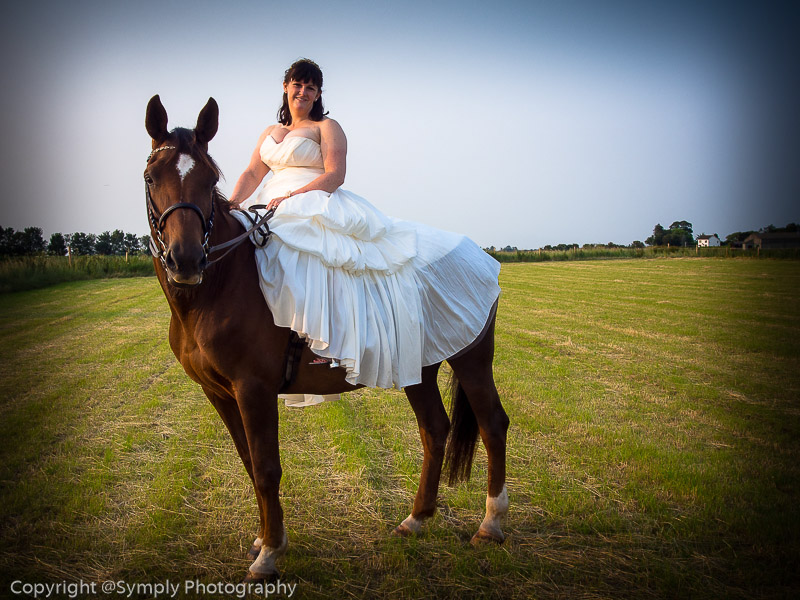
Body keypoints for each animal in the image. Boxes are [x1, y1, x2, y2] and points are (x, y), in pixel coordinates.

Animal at [144, 96, 510, 580]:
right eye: (152, 176)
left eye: (209, 177)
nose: (185, 260)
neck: (221, 284)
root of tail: (479, 253)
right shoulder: (219, 393)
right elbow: (247, 462)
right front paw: (263, 538)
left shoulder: (253, 390)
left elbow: (266, 468)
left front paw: (269, 554)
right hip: (420, 367)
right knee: (434, 430)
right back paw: (415, 519)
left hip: (471, 360)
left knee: (492, 424)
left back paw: (491, 525)